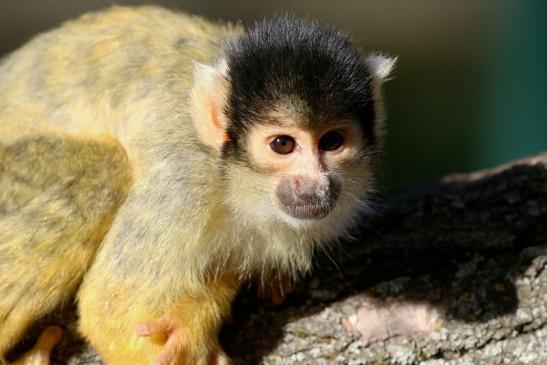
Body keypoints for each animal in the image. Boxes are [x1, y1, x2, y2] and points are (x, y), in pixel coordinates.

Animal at [0, 5, 394, 364]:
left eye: (332, 142)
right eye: (283, 144)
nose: (312, 185)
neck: (238, 182)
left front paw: (201, 315)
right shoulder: (185, 179)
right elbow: (110, 304)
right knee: (106, 171)